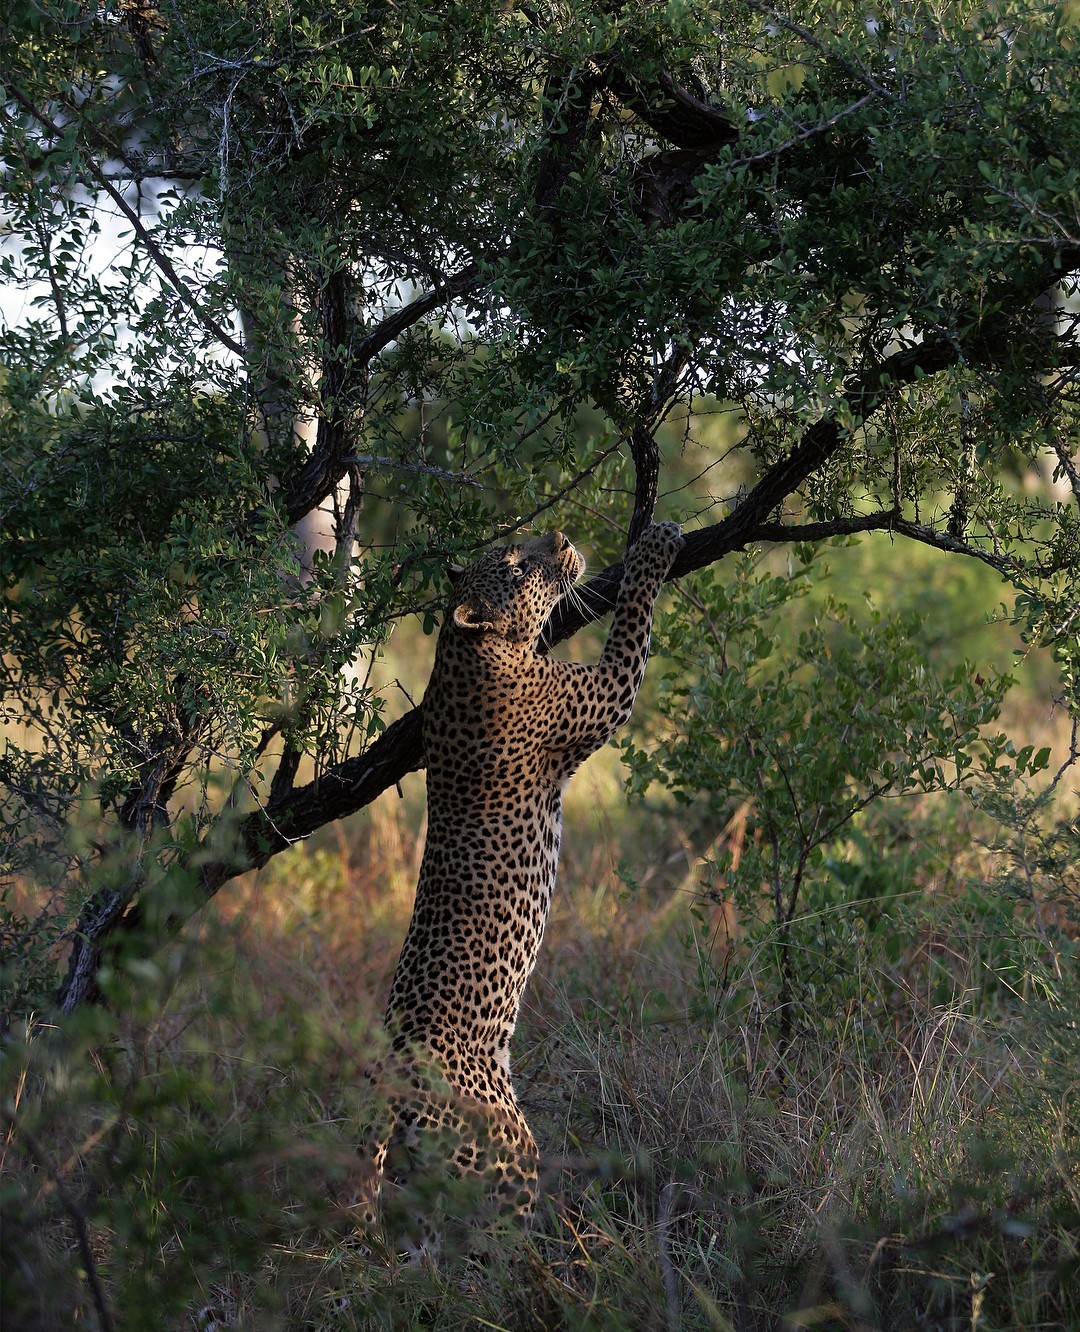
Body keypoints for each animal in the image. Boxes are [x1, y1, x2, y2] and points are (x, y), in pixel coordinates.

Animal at [362, 519, 681, 1257]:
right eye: (512, 565)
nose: (560, 536)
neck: (465, 651)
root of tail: (394, 1086)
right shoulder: (603, 694)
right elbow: (633, 619)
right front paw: (654, 546)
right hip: (508, 1150)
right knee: (493, 1247)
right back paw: (557, 1259)